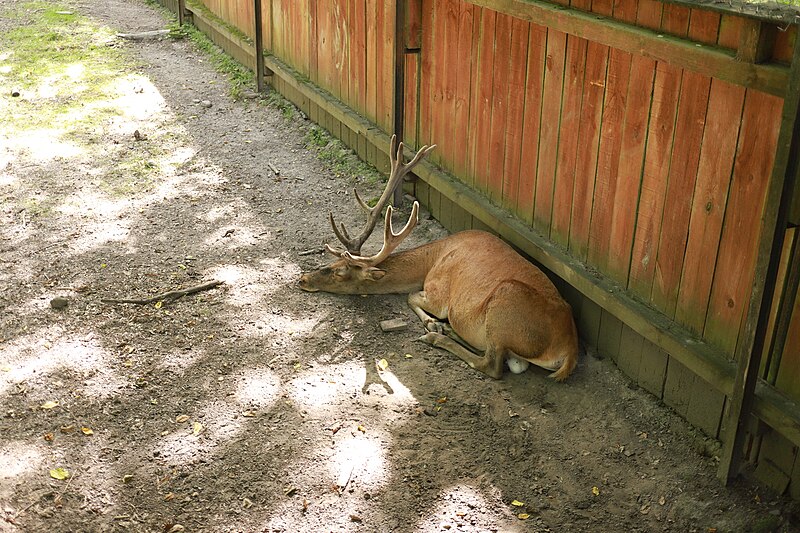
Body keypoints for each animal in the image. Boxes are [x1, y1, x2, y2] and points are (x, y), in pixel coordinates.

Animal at [296, 135, 580, 380]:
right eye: (331, 263)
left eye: (340, 271)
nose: (302, 279)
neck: (433, 258)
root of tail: (568, 351)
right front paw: (435, 324)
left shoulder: (438, 293)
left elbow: (411, 295)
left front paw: (432, 324)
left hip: (505, 303)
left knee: (492, 365)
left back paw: (436, 336)